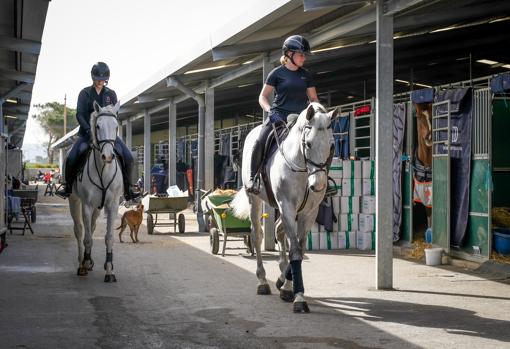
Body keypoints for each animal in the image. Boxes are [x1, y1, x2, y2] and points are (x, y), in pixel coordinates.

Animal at [68, 100, 123, 282]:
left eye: (116, 126)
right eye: (98, 126)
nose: (108, 156)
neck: (103, 170)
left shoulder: (112, 205)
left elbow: (109, 238)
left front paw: (109, 270)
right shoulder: (86, 205)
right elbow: (87, 239)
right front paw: (85, 264)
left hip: (98, 208)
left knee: (91, 227)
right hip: (74, 200)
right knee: (80, 231)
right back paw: (82, 263)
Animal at [232, 102, 338, 312]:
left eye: (331, 145)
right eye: (308, 144)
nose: (319, 185)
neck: (302, 168)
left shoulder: (309, 212)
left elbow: (300, 249)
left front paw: (287, 286)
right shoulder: (287, 207)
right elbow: (295, 250)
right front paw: (297, 297)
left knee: (279, 230)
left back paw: (281, 276)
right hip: (255, 200)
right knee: (257, 235)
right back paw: (263, 282)